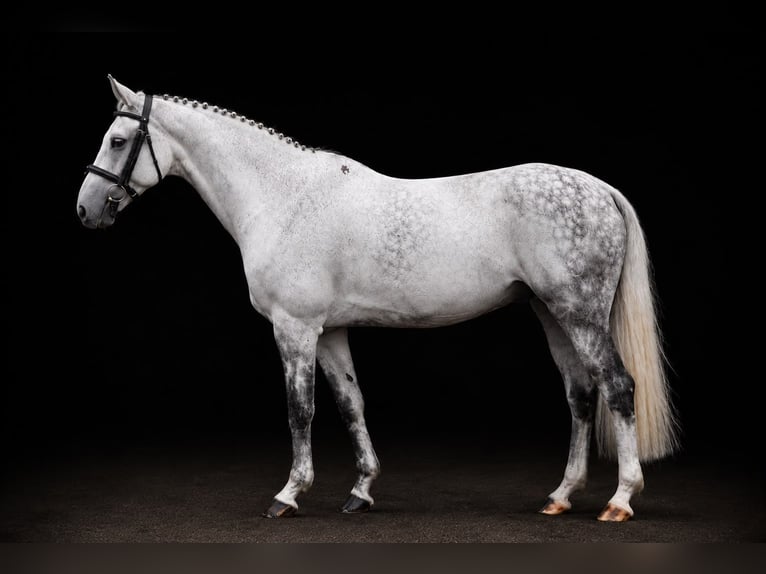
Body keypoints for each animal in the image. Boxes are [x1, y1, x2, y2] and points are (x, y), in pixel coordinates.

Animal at [77, 76, 677, 522]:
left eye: (118, 141)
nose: (85, 210)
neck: (283, 196)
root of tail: (600, 189)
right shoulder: (330, 331)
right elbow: (350, 404)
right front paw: (360, 492)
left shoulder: (294, 327)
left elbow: (300, 409)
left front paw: (288, 495)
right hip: (551, 313)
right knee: (580, 395)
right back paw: (560, 497)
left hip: (580, 314)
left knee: (617, 387)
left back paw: (620, 501)